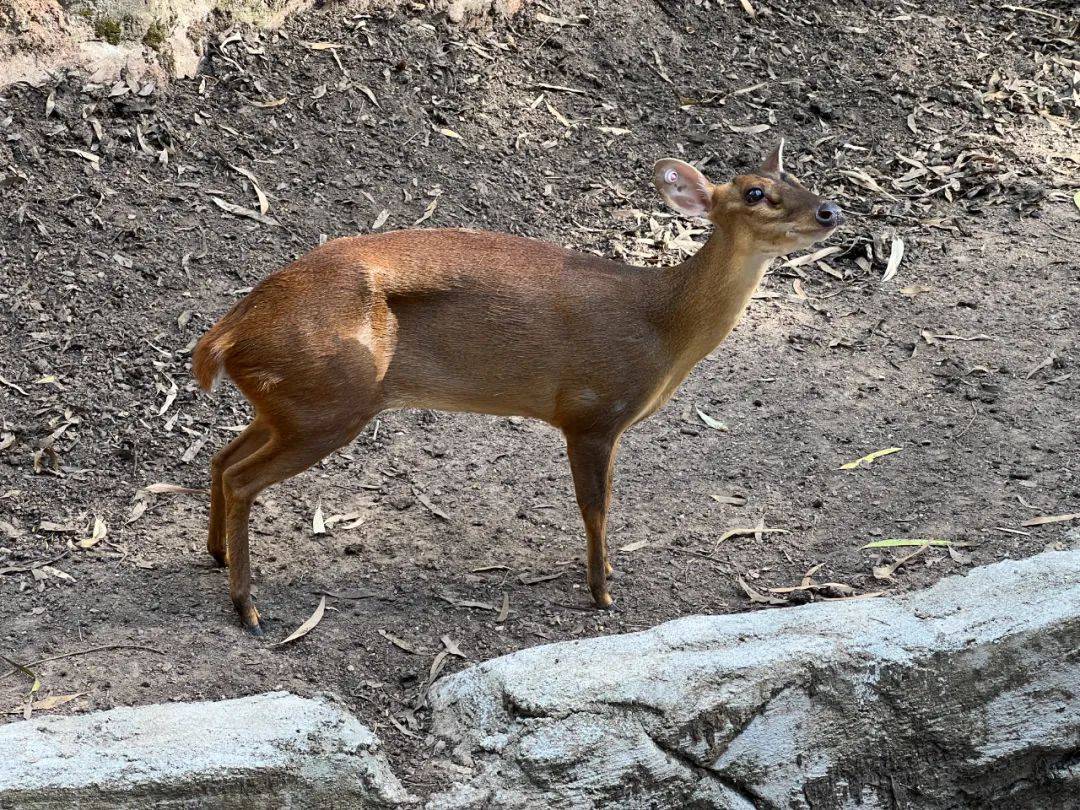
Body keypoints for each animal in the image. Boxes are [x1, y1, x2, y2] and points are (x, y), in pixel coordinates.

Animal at [194, 141, 842, 635]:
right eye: (754, 192)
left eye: (793, 175)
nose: (830, 211)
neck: (661, 323)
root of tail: (226, 335)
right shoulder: (590, 411)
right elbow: (595, 506)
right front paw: (602, 592)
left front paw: (607, 578)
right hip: (329, 397)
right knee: (241, 475)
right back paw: (248, 607)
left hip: (294, 401)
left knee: (221, 458)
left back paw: (217, 555)